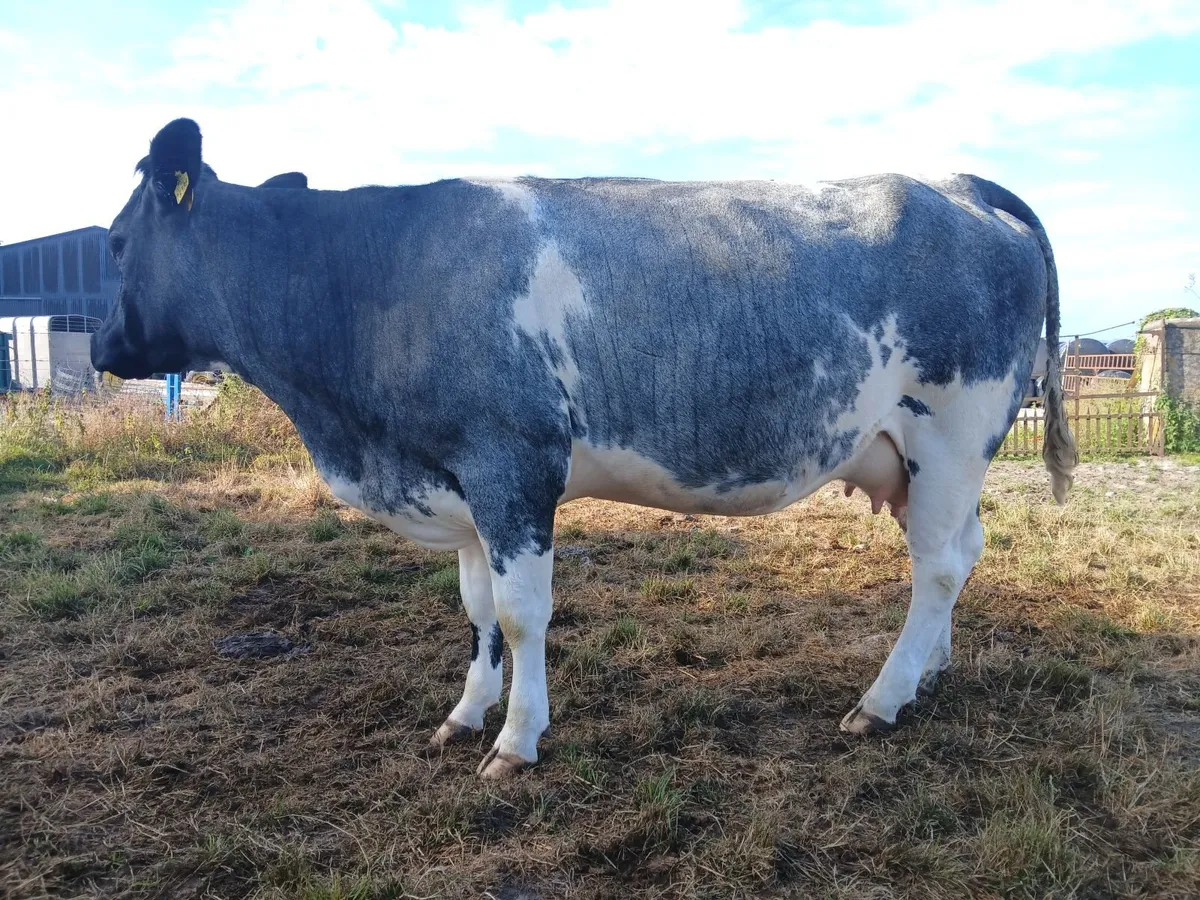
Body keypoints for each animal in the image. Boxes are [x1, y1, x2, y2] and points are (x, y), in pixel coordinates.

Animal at [91, 119, 1078, 778]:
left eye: (114, 241)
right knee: (959, 551)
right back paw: (928, 673)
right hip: (921, 456)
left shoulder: (513, 464)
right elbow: (476, 607)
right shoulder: (462, 486)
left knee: (937, 564)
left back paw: (881, 701)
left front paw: (516, 741)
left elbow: (522, 612)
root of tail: (958, 182)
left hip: (951, 430)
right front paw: (466, 714)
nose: (101, 349)